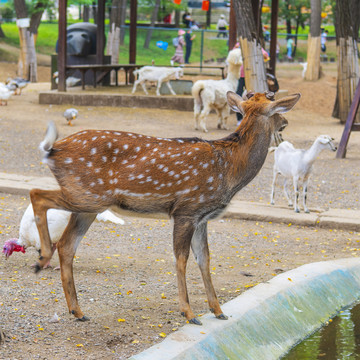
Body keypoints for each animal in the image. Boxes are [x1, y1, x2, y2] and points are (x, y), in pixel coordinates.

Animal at [30, 90, 300, 324]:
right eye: (275, 108)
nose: (286, 121)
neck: (230, 169)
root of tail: (53, 150)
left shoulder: (202, 217)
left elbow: (205, 258)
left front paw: (219, 311)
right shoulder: (186, 209)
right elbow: (181, 259)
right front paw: (189, 313)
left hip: (88, 205)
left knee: (67, 244)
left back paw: (77, 310)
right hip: (88, 195)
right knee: (37, 195)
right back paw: (41, 258)